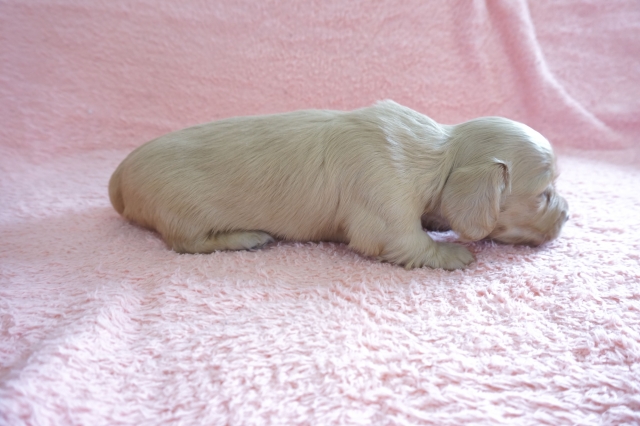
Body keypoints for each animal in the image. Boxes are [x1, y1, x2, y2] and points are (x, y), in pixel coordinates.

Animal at [109, 100, 568, 270]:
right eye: (543, 194)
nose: (567, 214)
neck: (438, 156)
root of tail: (119, 176)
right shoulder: (385, 213)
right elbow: (411, 243)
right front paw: (454, 253)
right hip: (183, 214)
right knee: (185, 242)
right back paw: (247, 237)